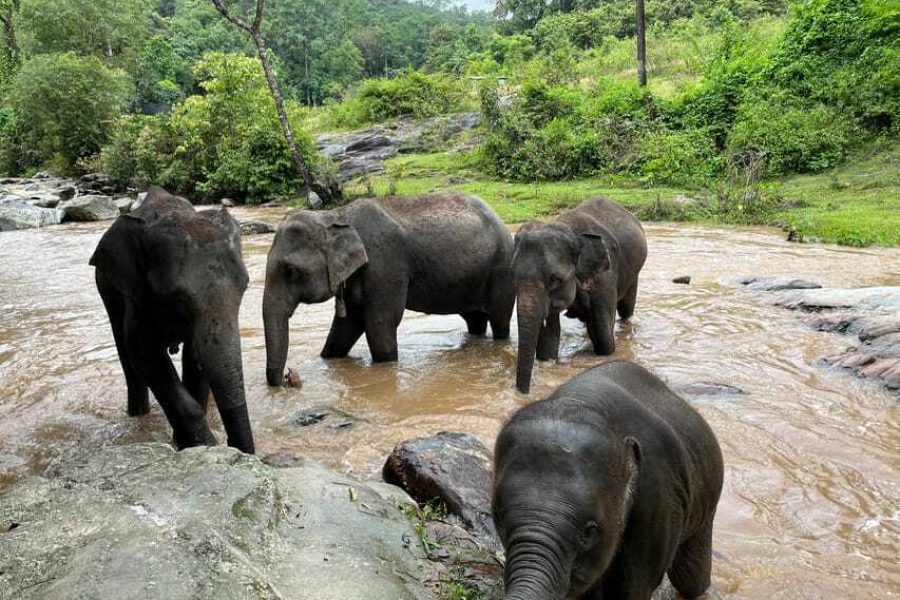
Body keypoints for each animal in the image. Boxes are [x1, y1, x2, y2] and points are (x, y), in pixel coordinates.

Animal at [88, 185, 253, 452]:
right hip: (107, 285)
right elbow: (144, 355)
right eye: (177, 295)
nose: (233, 445)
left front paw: (189, 444)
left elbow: (195, 357)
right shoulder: (137, 295)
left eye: (245, 286)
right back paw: (137, 414)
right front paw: (202, 444)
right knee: (126, 354)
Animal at [262, 192, 512, 384]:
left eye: (290, 270)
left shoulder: (385, 264)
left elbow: (379, 324)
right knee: (475, 319)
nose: (288, 377)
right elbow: (346, 326)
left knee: (500, 319)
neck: (336, 215)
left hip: (500, 267)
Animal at [492, 360, 724, 600]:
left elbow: (631, 589)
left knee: (690, 579)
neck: (584, 402)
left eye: (590, 530)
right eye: (497, 516)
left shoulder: (658, 501)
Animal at [512, 196, 648, 394]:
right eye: (513, 276)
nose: (524, 393)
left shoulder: (605, 279)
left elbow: (604, 338)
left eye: (555, 280)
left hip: (634, 272)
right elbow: (549, 336)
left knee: (626, 310)